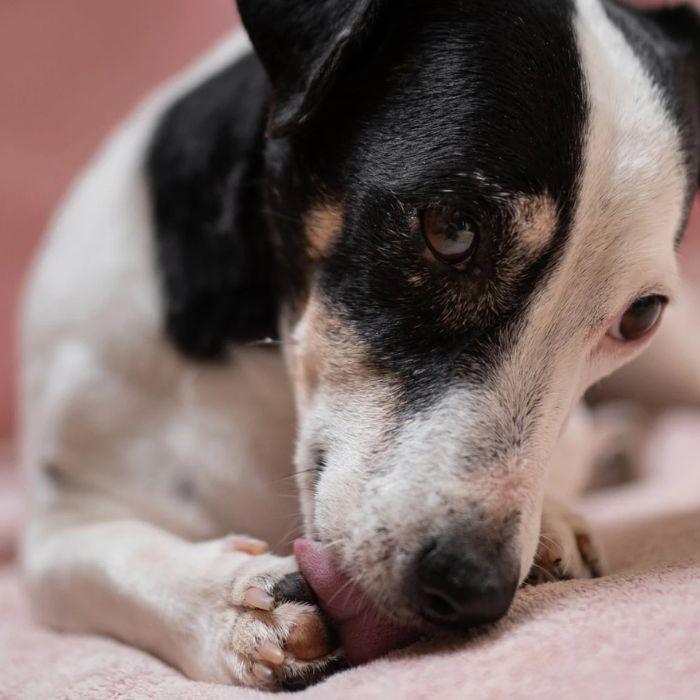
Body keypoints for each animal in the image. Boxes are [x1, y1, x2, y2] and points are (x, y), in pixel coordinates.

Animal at [17, 0, 700, 688]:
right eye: (452, 230)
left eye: (639, 317)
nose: (471, 588)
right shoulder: (56, 520)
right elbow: (109, 561)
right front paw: (231, 603)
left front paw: (557, 519)